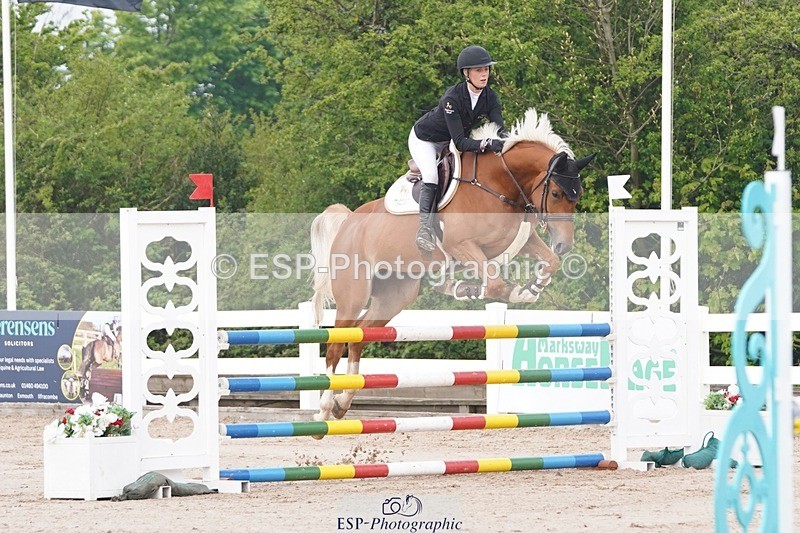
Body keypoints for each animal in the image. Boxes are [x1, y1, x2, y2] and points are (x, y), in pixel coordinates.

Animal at [309, 109, 594, 425]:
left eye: (578, 195)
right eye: (555, 193)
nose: (564, 244)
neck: (499, 184)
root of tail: (348, 221)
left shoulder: (521, 240)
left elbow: (548, 262)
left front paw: (532, 288)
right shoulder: (463, 247)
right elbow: (495, 283)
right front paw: (487, 291)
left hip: (395, 295)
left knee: (359, 338)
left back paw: (342, 403)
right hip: (354, 294)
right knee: (336, 344)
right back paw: (324, 408)